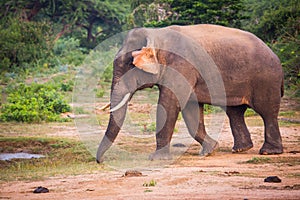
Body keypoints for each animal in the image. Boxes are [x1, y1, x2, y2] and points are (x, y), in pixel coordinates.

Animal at [96, 24, 284, 162]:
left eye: (130, 64)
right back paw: (241, 149)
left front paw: (156, 158)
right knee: (235, 112)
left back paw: (269, 152)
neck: (157, 35)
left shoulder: (182, 65)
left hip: (266, 79)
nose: (101, 161)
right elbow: (191, 110)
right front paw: (210, 150)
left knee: (266, 112)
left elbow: (169, 105)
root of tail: (275, 55)